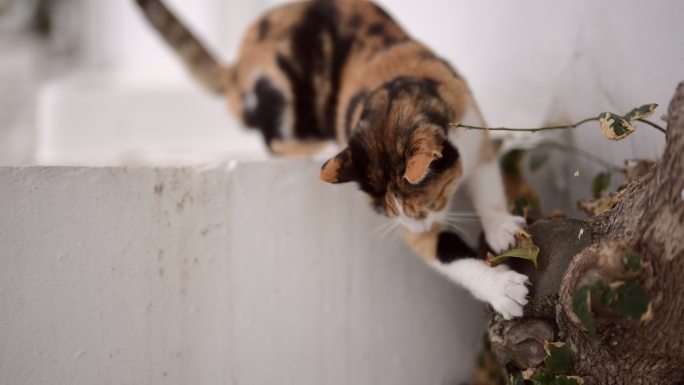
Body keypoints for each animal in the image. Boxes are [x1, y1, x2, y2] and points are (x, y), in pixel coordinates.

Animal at [134, 0, 528, 318]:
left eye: (433, 202)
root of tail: (236, 68)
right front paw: (503, 289)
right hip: (278, 86)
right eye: (393, 216)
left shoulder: (474, 131)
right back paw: (316, 146)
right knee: (273, 140)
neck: (396, 93)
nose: (420, 228)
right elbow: (445, 251)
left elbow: (488, 184)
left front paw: (502, 229)